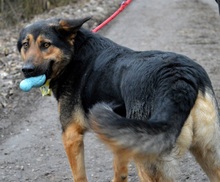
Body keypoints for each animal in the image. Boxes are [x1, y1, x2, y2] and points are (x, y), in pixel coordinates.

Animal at [17, 17, 220, 182]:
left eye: (46, 45)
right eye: (26, 45)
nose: (26, 70)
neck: (74, 52)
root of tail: (180, 79)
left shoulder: (71, 136)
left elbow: (79, 175)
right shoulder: (120, 134)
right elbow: (120, 170)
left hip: (148, 162)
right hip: (207, 153)